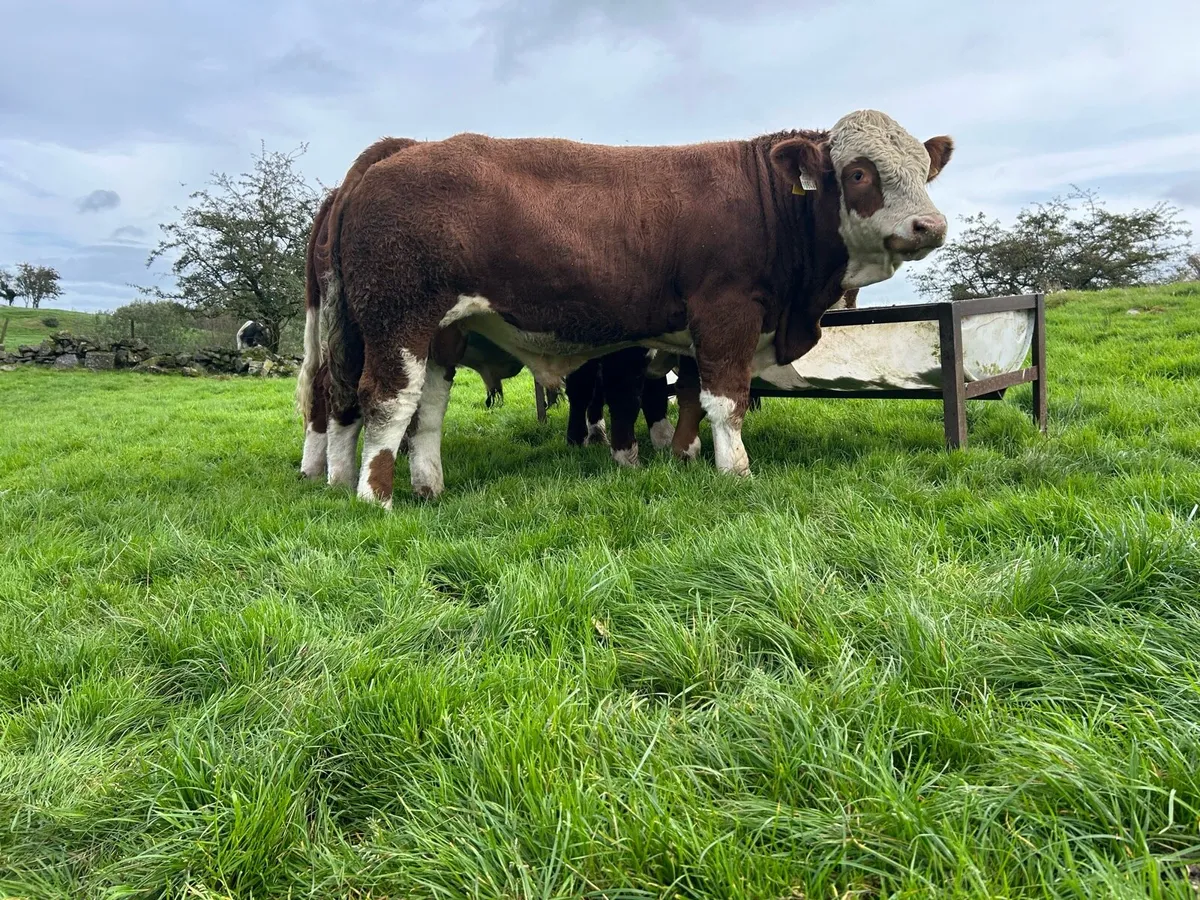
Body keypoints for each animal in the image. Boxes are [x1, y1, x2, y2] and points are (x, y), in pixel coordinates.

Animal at [315, 109, 953, 505]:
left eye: (924, 170)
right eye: (859, 172)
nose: (930, 225)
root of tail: (399, 153)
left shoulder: (693, 333)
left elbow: (689, 397)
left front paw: (684, 457)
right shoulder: (726, 313)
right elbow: (726, 401)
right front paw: (734, 471)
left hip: (444, 330)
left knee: (425, 407)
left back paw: (422, 485)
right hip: (397, 318)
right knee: (383, 400)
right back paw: (373, 497)